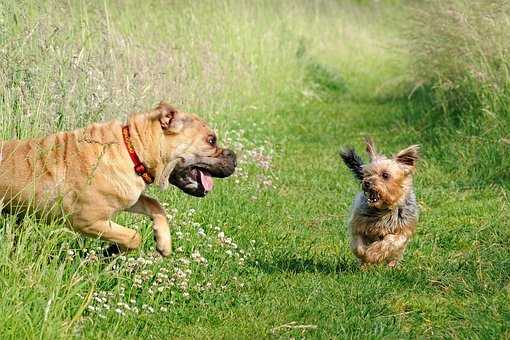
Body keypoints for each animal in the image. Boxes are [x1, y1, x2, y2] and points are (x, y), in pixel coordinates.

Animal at [0, 102, 236, 256]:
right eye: (211, 140)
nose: (234, 157)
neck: (133, 148)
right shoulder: (87, 221)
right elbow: (133, 236)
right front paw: (112, 249)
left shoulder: (129, 197)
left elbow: (155, 205)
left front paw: (163, 242)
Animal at [340, 137, 420, 266]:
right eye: (367, 174)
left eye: (385, 175)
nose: (366, 182)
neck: (383, 209)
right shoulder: (358, 223)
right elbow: (358, 244)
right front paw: (364, 255)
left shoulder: (402, 230)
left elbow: (390, 242)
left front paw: (372, 254)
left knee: (395, 254)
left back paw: (391, 265)